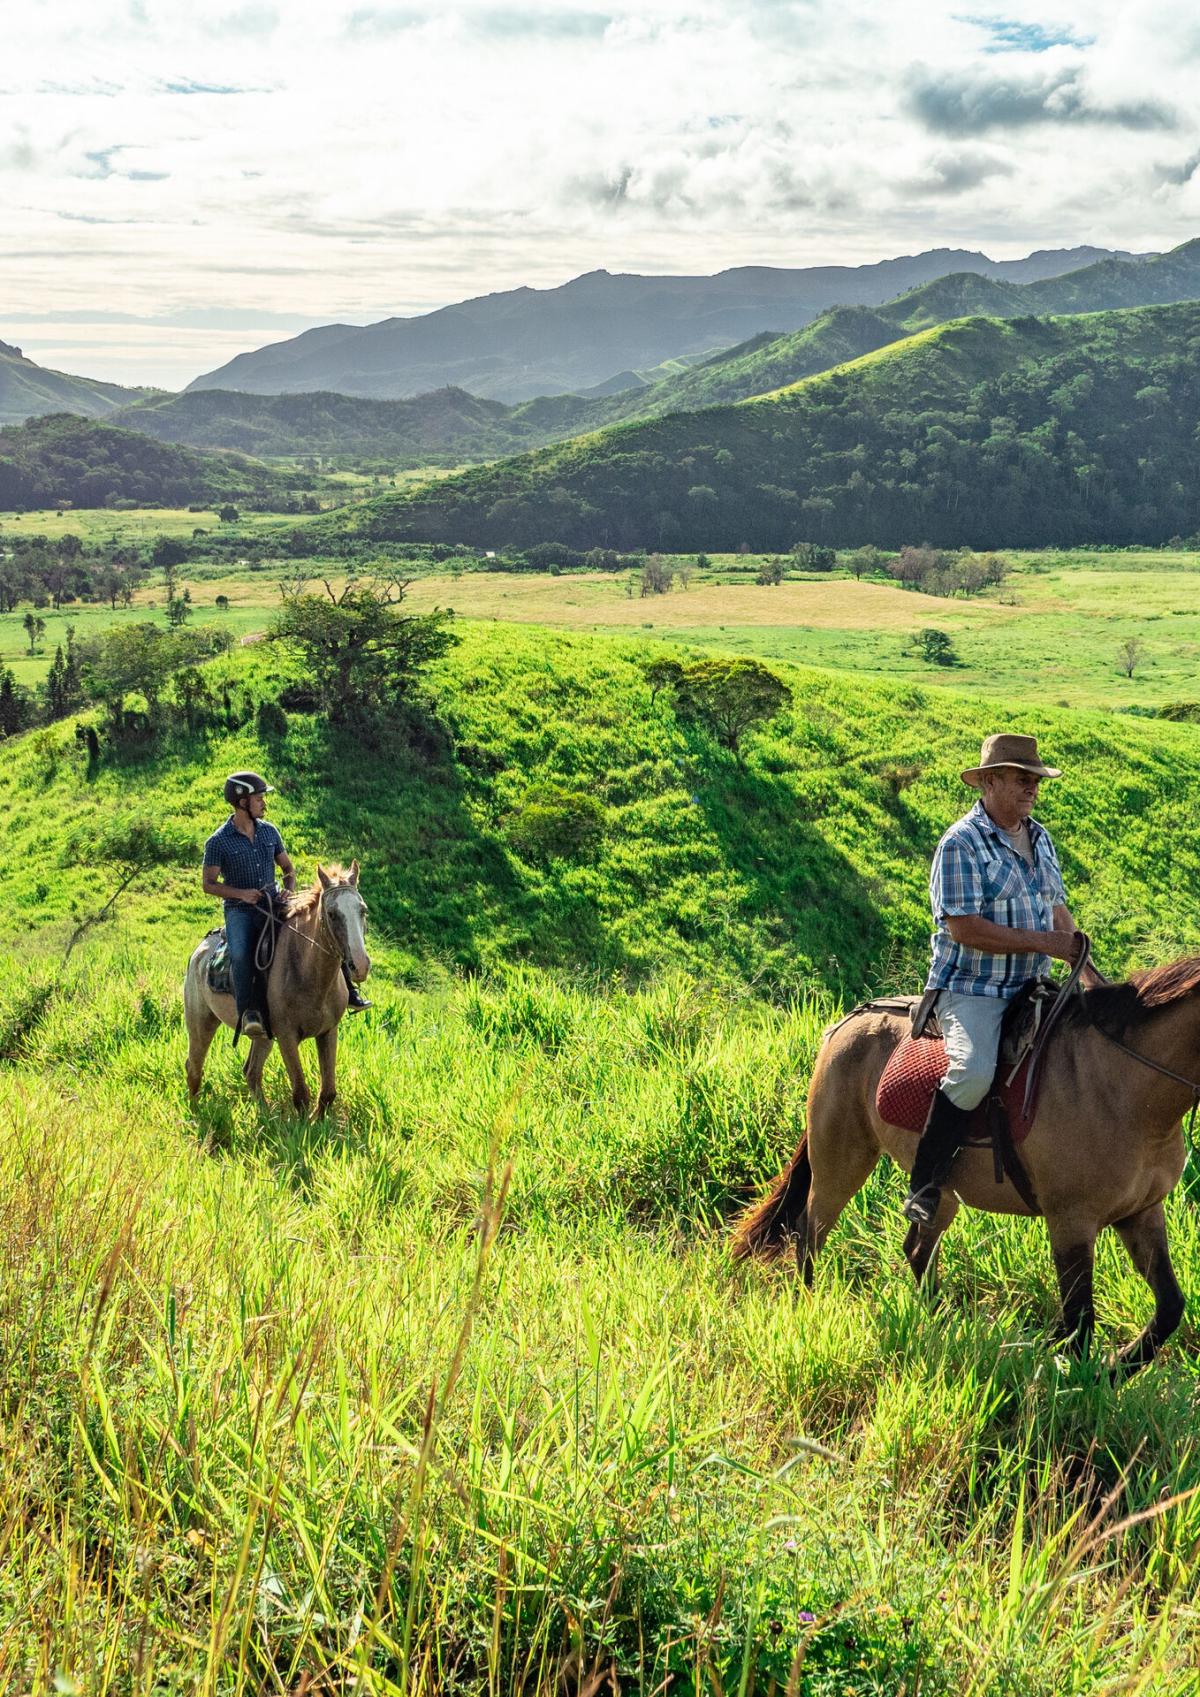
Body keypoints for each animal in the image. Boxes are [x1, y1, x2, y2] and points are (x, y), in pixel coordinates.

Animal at [181, 868, 370, 1120]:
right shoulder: (287, 1037)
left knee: (251, 1071)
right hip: (201, 1022)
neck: (307, 971)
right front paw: (303, 1127)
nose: (360, 966)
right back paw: (195, 1113)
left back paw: (265, 1114)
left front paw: (318, 1122)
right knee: (194, 1067)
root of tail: (200, 952)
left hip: (263, 1036)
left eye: (363, 910)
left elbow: (328, 1093)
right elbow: (301, 1093)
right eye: (331, 914)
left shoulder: (328, 1032)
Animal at [726, 963, 1200, 1371]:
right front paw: (1079, 1383)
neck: (1122, 1087)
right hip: (842, 1161)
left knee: (917, 1249)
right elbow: (1079, 1323)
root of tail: (845, 1025)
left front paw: (1116, 1369)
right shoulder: (1071, 1222)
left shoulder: (1141, 1213)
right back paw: (810, 1306)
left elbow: (1170, 1307)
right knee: (809, 1232)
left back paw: (944, 1325)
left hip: (939, 1191)